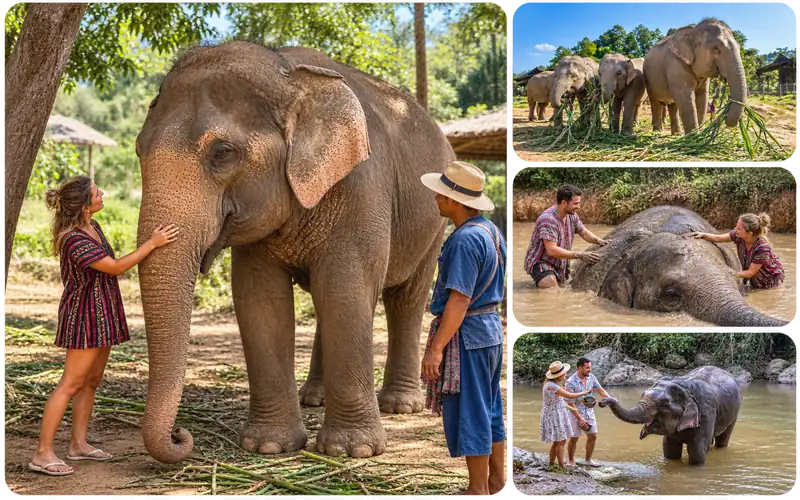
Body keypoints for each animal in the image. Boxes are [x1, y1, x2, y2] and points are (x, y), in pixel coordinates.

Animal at [134, 41, 454, 464]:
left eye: (222, 152)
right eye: (139, 149)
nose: (179, 434)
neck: (287, 74)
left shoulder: (362, 185)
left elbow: (346, 288)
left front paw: (353, 450)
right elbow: (261, 299)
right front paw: (269, 446)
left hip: (435, 221)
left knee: (405, 298)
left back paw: (400, 405)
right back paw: (313, 398)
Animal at [598, 366, 742, 465]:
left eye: (664, 403)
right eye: (643, 393)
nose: (602, 402)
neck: (685, 386)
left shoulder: (706, 413)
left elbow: (697, 452)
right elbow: (670, 450)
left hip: (735, 412)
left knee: (723, 439)